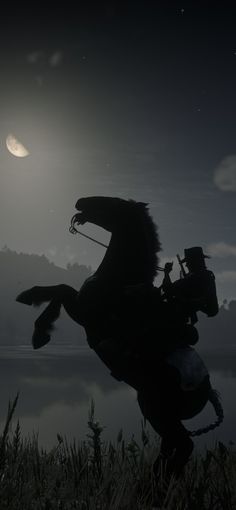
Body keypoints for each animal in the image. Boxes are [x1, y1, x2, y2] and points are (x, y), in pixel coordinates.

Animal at [16, 195, 223, 482]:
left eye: (112, 203)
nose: (80, 202)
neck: (119, 279)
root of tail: (208, 390)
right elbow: (61, 289)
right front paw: (35, 315)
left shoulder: (84, 314)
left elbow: (61, 290)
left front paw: (39, 326)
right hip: (161, 414)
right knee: (173, 448)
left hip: (156, 410)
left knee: (182, 445)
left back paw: (153, 483)